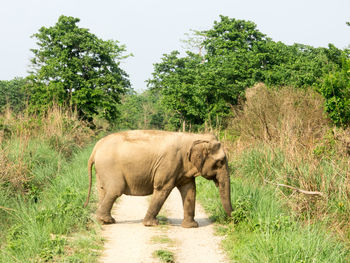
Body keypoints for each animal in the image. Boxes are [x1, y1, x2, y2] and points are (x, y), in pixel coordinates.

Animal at [83, 131, 232, 228]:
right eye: (220, 162)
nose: (232, 219)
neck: (194, 136)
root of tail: (95, 148)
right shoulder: (169, 163)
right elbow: (162, 188)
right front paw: (151, 224)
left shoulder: (183, 168)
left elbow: (190, 190)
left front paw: (191, 226)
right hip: (109, 167)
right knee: (115, 190)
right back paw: (107, 221)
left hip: (102, 170)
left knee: (103, 190)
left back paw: (103, 221)